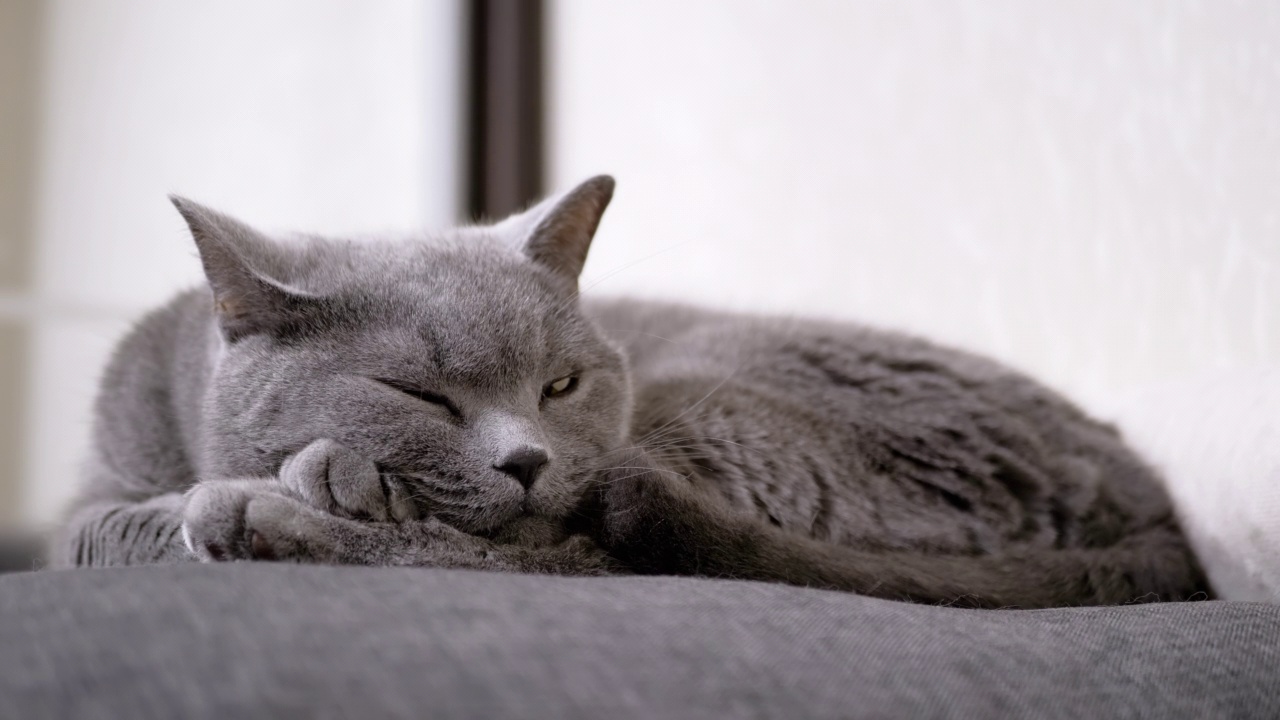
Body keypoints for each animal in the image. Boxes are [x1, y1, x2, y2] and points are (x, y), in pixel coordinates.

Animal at [52, 175, 1208, 604]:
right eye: (422, 396)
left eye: (559, 384)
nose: (526, 459)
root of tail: (1149, 505)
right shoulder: (86, 497)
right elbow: (102, 529)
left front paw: (318, 484)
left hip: (720, 407)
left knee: (579, 552)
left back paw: (272, 514)